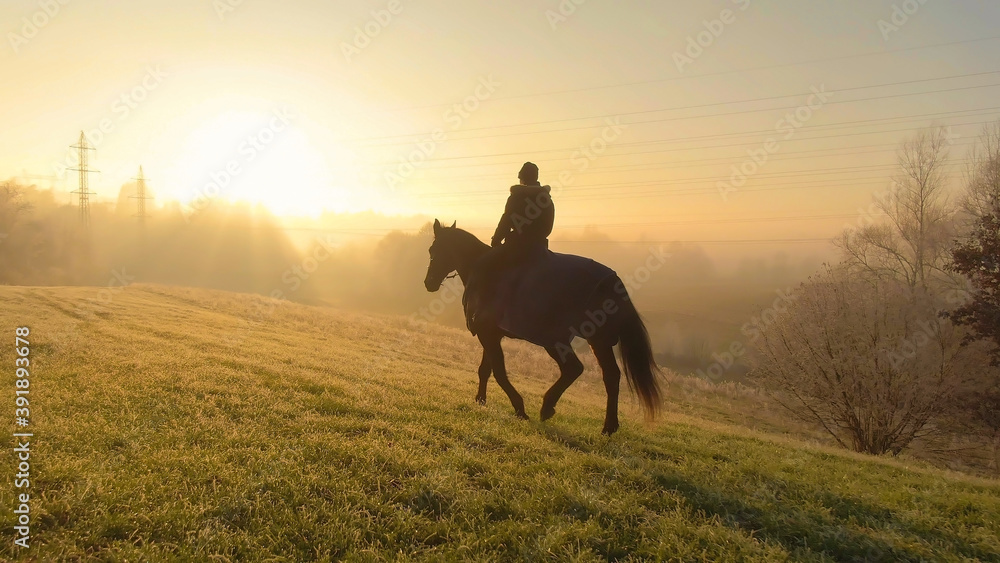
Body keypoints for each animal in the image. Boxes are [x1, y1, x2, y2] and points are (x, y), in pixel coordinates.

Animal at [422, 218, 664, 434]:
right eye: (431, 249)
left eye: (437, 249)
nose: (429, 282)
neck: (481, 266)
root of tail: (612, 280)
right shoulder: (491, 333)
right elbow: (485, 369)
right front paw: (480, 399)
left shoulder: (487, 332)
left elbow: (499, 371)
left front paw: (519, 408)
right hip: (599, 341)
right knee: (611, 376)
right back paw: (608, 426)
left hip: (559, 340)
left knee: (574, 368)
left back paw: (548, 407)